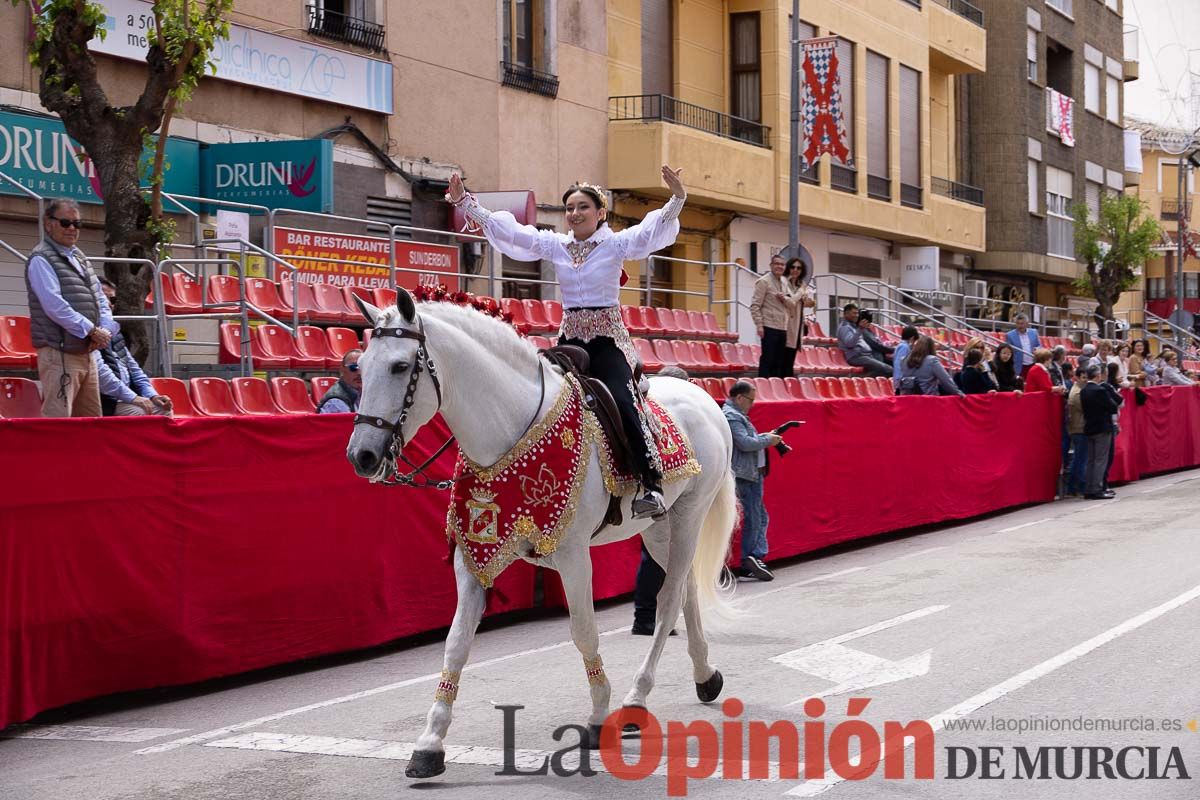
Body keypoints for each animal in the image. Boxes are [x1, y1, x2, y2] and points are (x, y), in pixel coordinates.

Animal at [345, 291, 739, 777]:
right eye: (360, 366)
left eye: (400, 366)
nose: (361, 456)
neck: (509, 430)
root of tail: (704, 398)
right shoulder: (473, 558)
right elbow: (456, 644)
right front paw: (429, 743)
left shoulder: (572, 556)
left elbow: (584, 631)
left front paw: (597, 717)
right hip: (659, 529)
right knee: (684, 592)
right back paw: (705, 677)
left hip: (688, 516)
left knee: (667, 603)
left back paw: (635, 701)